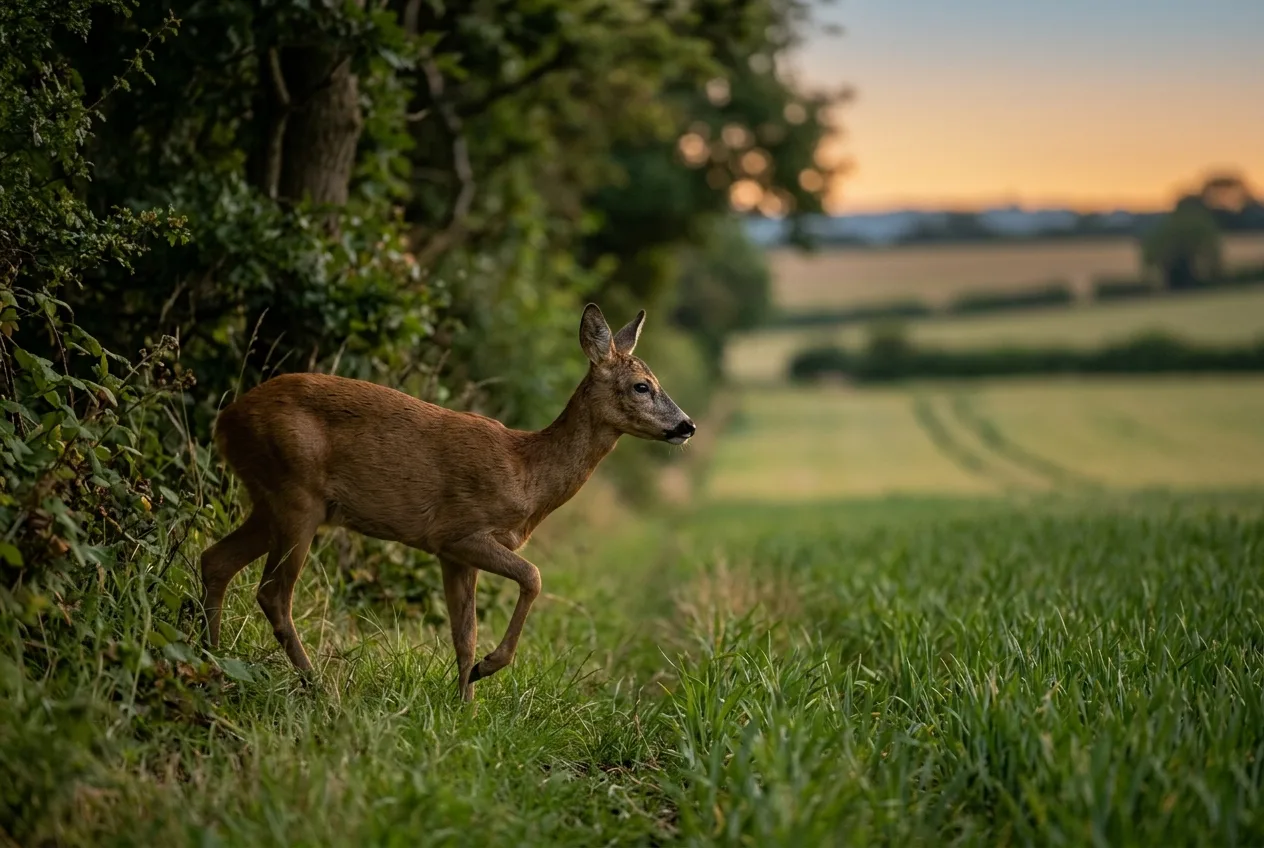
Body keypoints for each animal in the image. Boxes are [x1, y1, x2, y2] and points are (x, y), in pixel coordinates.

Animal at [200, 303, 695, 702]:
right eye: (642, 386)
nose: (687, 425)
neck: (526, 473)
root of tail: (225, 420)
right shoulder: (461, 531)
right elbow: (532, 577)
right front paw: (487, 669)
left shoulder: (451, 554)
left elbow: (464, 633)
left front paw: (466, 704)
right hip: (295, 495)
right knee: (272, 594)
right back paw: (318, 687)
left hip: (271, 502)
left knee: (215, 561)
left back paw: (212, 663)